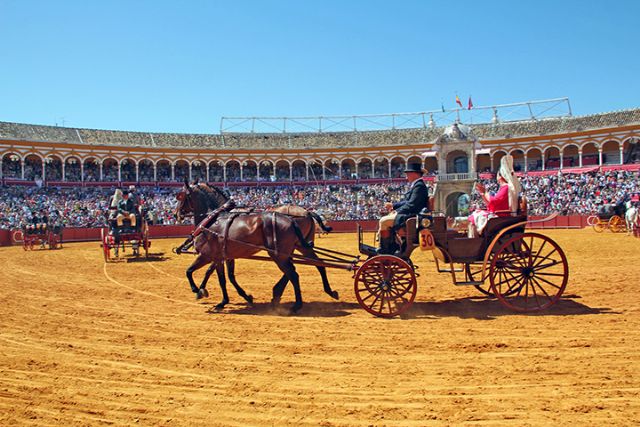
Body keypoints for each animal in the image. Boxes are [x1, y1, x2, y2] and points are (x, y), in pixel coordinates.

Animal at [172, 181, 338, 310]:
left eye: (180, 196)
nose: (175, 214)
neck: (213, 219)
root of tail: (305, 213)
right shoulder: (226, 256)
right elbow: (226, 277)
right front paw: (239, 297)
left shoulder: (210, 255)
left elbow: (196, 272)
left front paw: (200, 290)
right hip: (299, 247)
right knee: (317, 264)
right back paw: (327, 291)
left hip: (280, 253)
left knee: (293, 273)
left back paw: (294, 303)